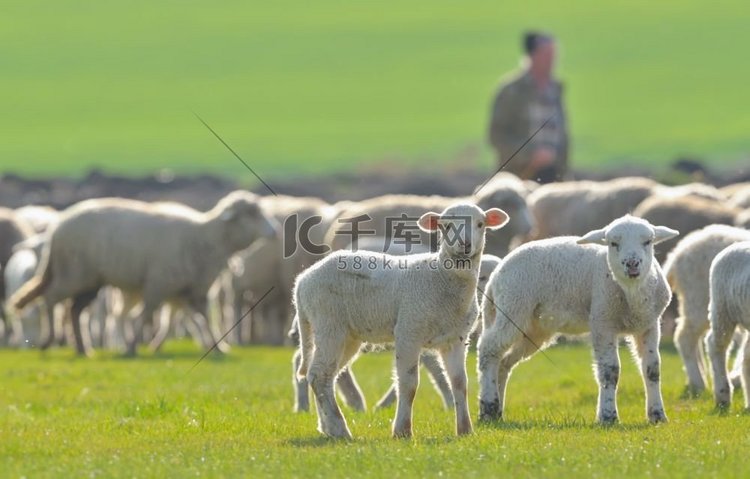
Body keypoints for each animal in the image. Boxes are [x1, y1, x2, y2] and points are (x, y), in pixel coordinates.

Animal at [11, 191, 278, 356]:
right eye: (251, 214)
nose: (275, 231)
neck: (206, 237)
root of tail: (56, 227)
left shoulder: (195, 290)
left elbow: (204, 319)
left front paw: (218, 347)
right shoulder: (158, 283)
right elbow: (146, 313)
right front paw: (131, 347)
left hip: (90, 280)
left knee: (75, 310)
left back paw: (82, 348)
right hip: (74, 272)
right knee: (51, 299)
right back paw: (49, 341)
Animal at [294, 202, 512, 438]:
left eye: (480, 224)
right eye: (446, 226)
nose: (465, 244)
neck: (441, 279)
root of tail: (302, 281)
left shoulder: (455, 338)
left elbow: (459, 383)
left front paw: (464, 430)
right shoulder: (409, 330)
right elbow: (409, 384)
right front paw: (402, 431)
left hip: (347, 335)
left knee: (323, 376)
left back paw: (327, 428)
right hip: (329, 323)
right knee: (319, 374)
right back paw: (340, 429)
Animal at [478, 217, 680, 424]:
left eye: (648, 241)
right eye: (613, 243)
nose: (632, 264)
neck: (633, 293)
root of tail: (496, 274)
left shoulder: (649, 325)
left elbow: (652, 369)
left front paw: (657, 415)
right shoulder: (602, 322)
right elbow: (609, 371)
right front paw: (608, 416)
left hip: (533, 328)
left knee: (504, 362)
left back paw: (498, 411)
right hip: (513, 306)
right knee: (488, 349)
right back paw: (488, 408)